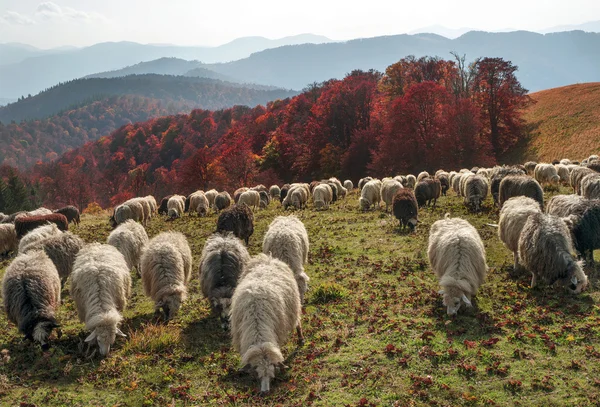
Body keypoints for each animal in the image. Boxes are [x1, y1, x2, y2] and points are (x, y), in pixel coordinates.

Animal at [231, 255, 302, 396]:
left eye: (271, 375)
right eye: (258, 375)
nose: (265, 392)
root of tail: (269, 258)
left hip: (293, 307)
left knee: (298, 322)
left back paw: (301, 339)